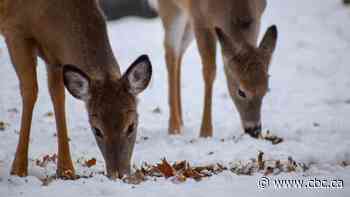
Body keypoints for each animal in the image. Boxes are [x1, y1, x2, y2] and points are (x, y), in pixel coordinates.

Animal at [0, 0, 153, 180]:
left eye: (131, 126)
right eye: (97, 130)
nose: (119, 174)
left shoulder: (55, 58)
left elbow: (58, 95)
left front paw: (66, 171)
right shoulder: (14, 29)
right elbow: (30, 90)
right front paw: (18, 170)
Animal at [149, 0, 278, 138]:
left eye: (266, 90)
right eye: (241, 92)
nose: (254, 130)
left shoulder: (259, 15)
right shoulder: (200, 20)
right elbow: (209, 71)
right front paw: (205, 132)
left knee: (180, 53)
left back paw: (181, 121)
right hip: (171, 10)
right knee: (170, 55)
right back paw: (174, 128)